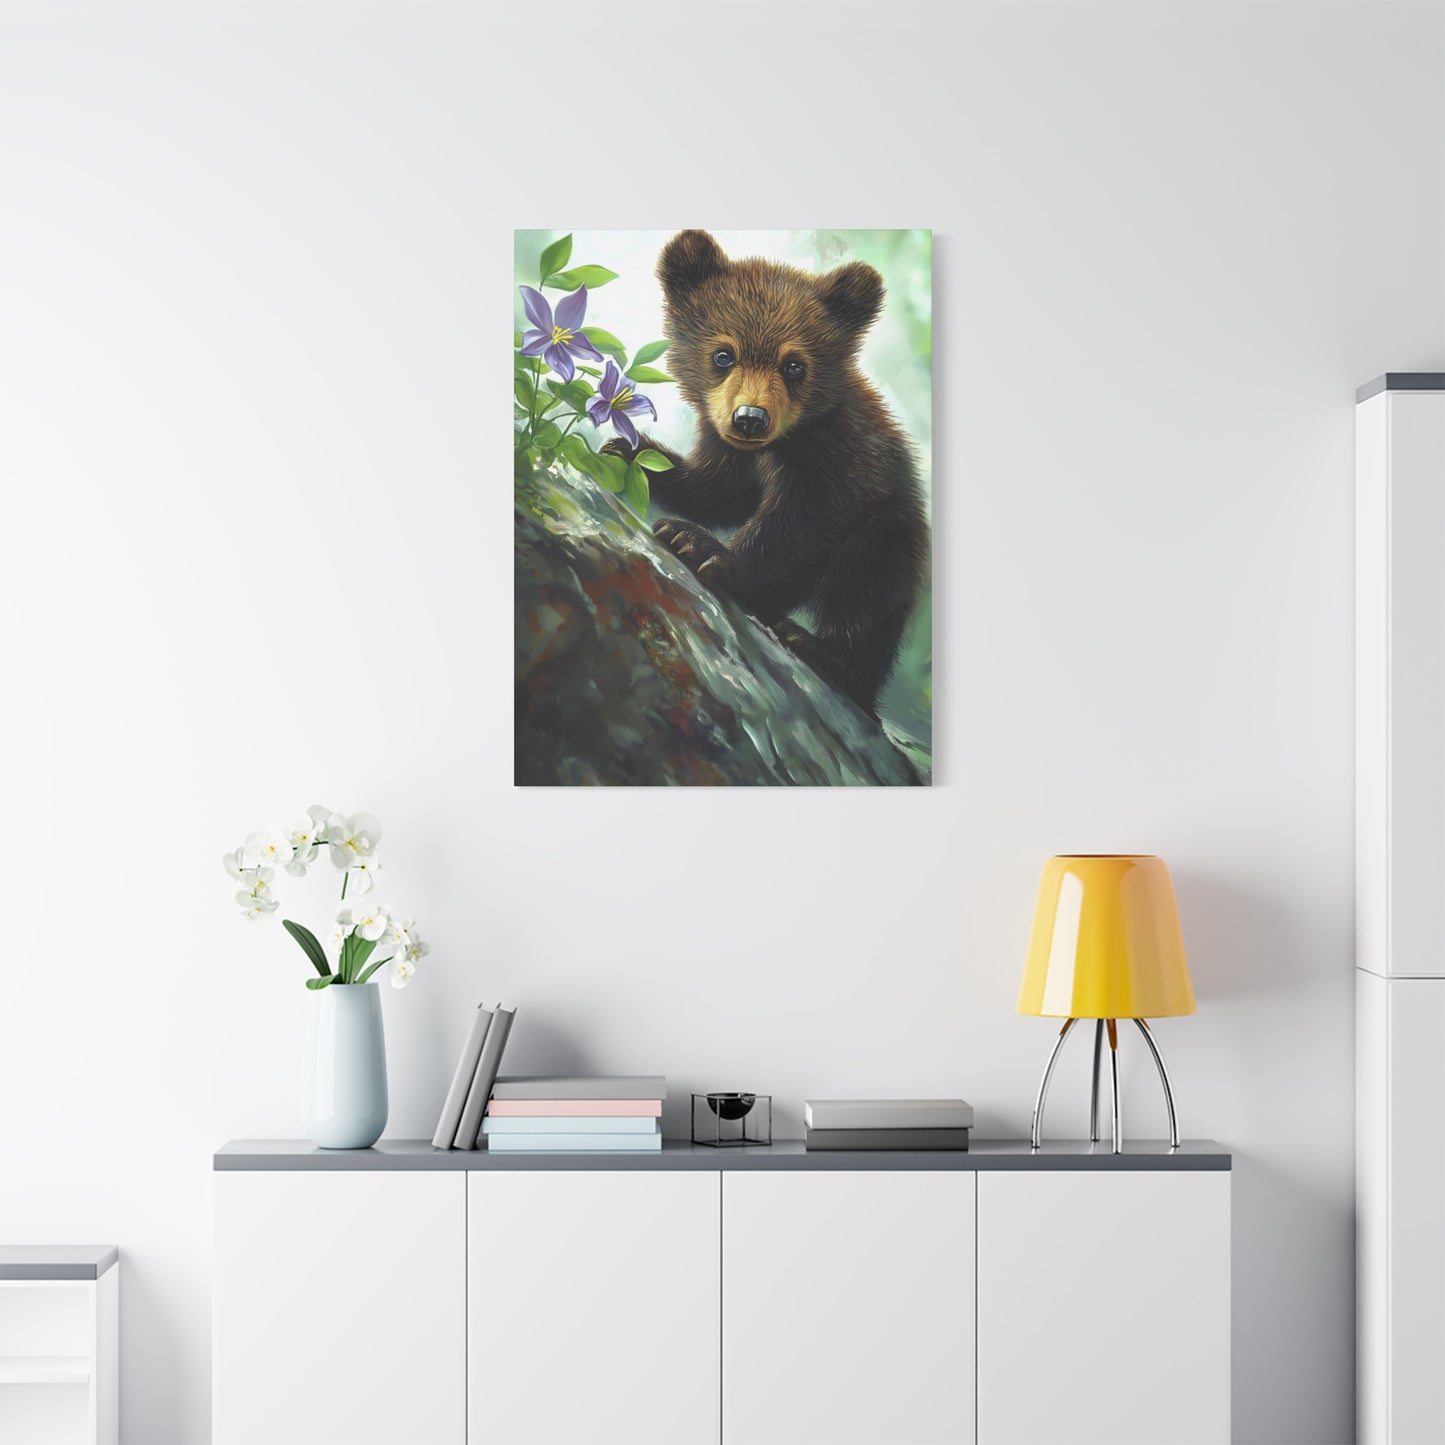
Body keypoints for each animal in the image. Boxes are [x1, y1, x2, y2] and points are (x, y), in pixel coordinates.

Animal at [602, 229, 928, 715]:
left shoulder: (837, 457)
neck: (780, 445)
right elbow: (718, 490)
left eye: (795, 365)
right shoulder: (728, 445)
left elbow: (801, 520)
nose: (750, 418)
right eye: (723, 354)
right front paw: (630, 450)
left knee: (868, 584)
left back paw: (818, 648)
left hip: (894, 535)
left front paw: (701, 545)